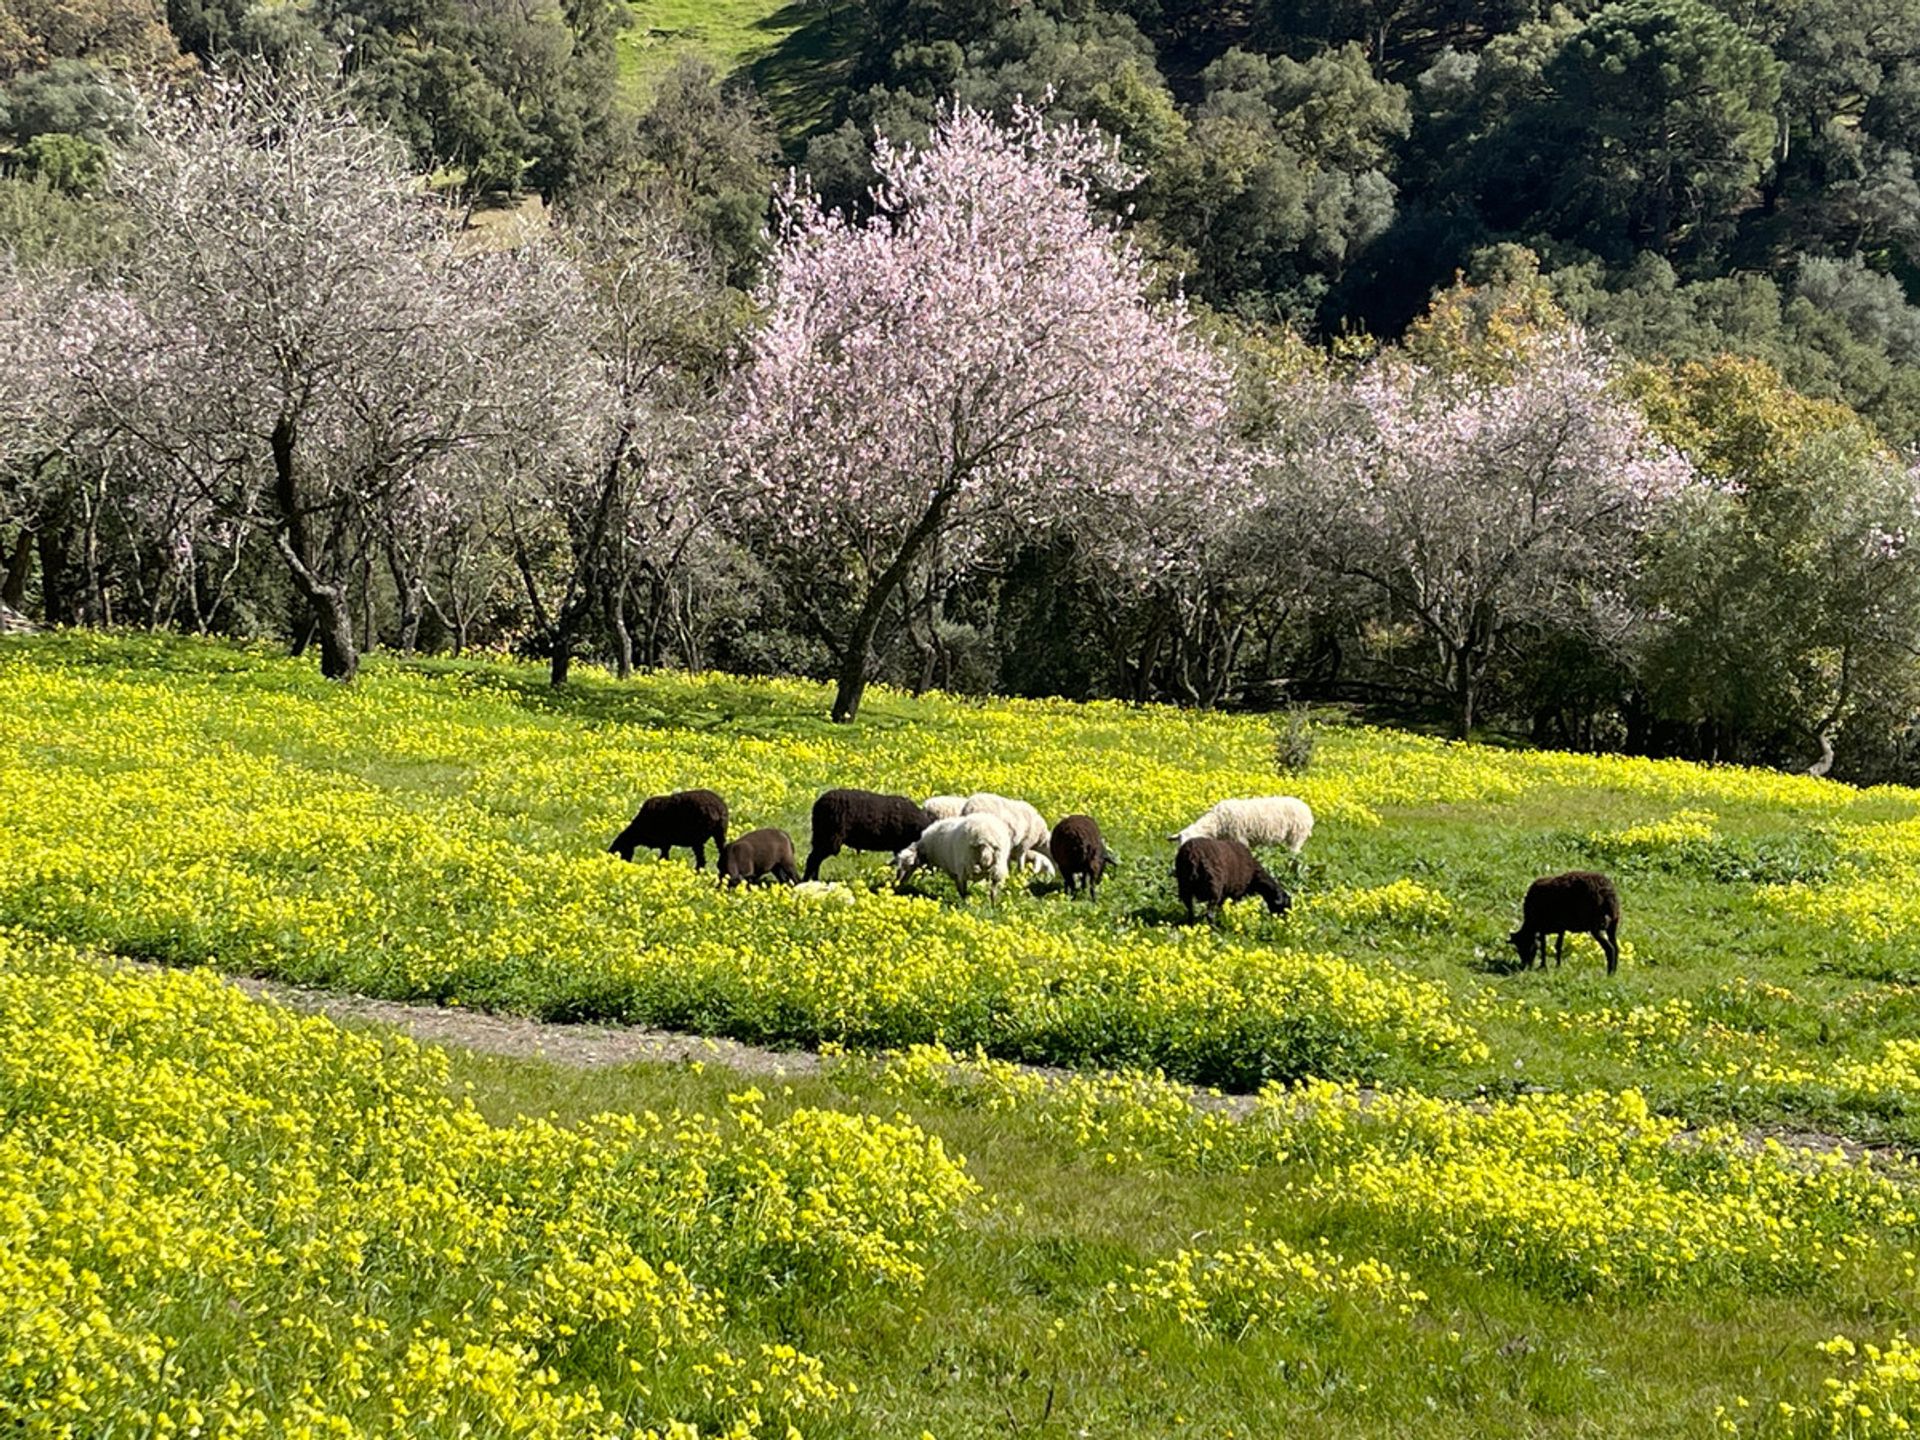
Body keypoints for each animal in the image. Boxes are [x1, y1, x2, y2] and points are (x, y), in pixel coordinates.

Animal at [1159, 802, 1313, 856]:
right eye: (1179, 840)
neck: (1217, 821)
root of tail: (1307, 808)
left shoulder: (1239, 838)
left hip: (1297, 835)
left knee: (1295, 852)